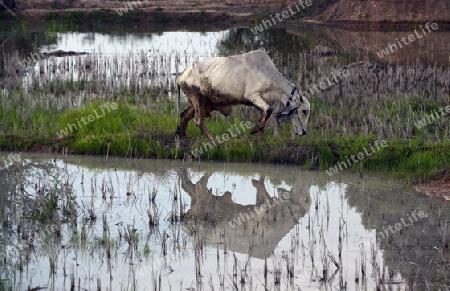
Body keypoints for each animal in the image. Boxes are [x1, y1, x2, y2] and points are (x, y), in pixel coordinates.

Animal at [176, 50, 310, 140]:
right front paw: (253, 130)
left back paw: (183, 138)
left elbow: (262, 118)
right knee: (199, 121)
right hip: (197, 97)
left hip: (197, 101)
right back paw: (213, 141)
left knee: (184, 116)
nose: (304, 132)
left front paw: (263, 139)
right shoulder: (253, 96)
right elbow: (268, 111)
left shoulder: (257, 103)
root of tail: (182, 75)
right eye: (304, 111)